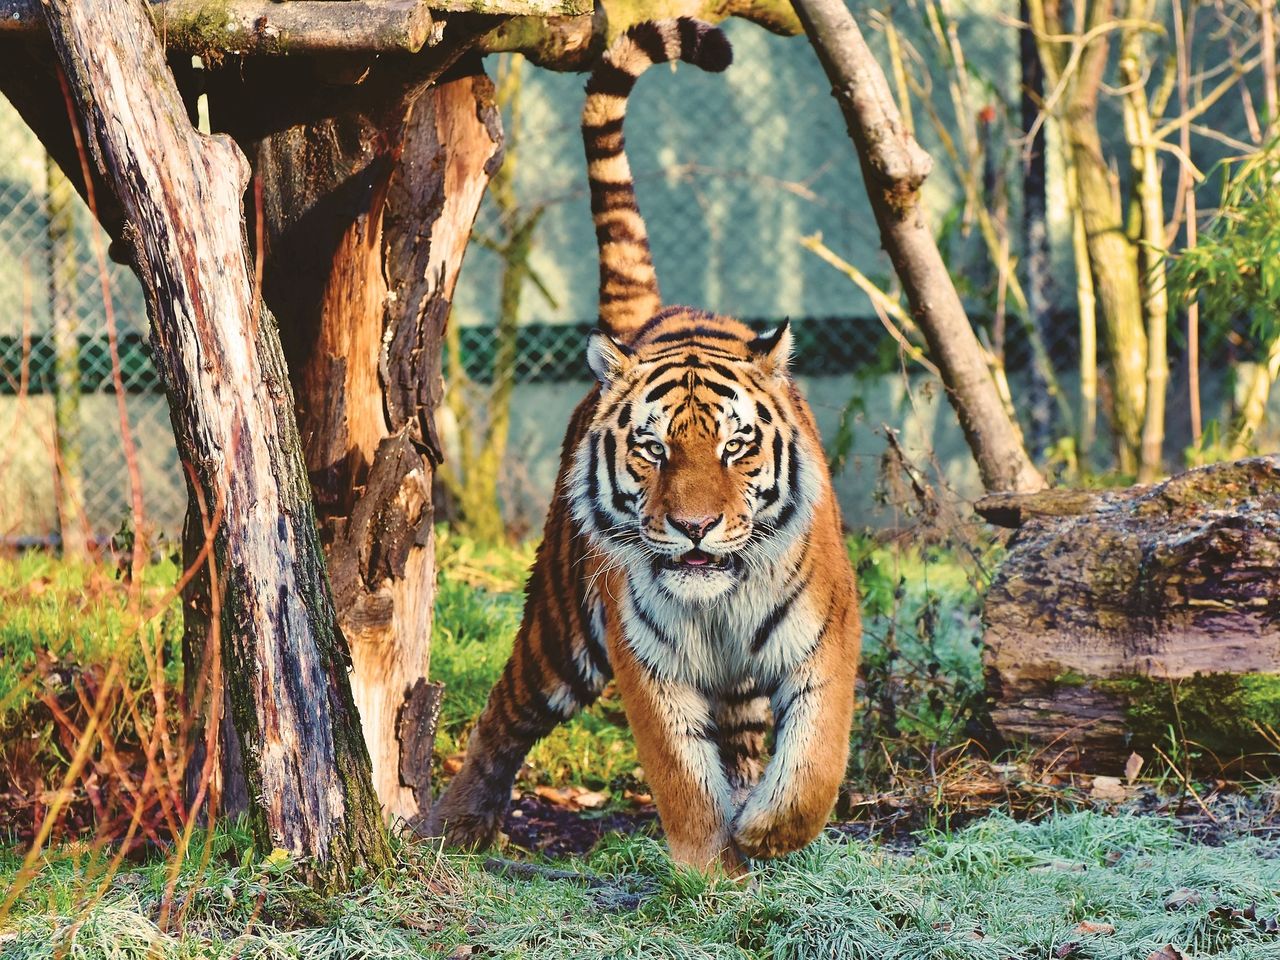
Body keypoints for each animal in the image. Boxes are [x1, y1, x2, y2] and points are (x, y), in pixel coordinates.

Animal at [427, 16, 860, 880]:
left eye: (736, 447)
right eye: (654, 452)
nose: (694, 528)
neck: (720, 603)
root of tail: (655, 315)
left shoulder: (827, 636)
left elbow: (815, 762)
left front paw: (768, 831)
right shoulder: (646, 661)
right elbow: (680, 777)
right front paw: (708, 867)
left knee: (748, 741)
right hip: (560, 629)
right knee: (503, 715)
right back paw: (454, 825)